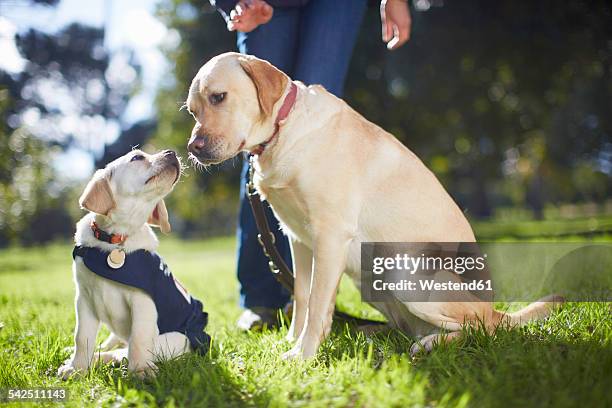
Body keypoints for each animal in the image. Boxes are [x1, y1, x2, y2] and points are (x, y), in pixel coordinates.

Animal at [185, 51, 560, 360]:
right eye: (192, 110)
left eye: (218, 97)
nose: (192, 148)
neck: (284, 130)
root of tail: (497, 309)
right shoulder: (297, 239)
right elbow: (303, 298)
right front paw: (292, 341)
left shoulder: (330, 236)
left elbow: (318, 303)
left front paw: (303, 355)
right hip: (372, 280)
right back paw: (376, 334)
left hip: (405, 271)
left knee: (481, 329)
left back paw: (428, 344)